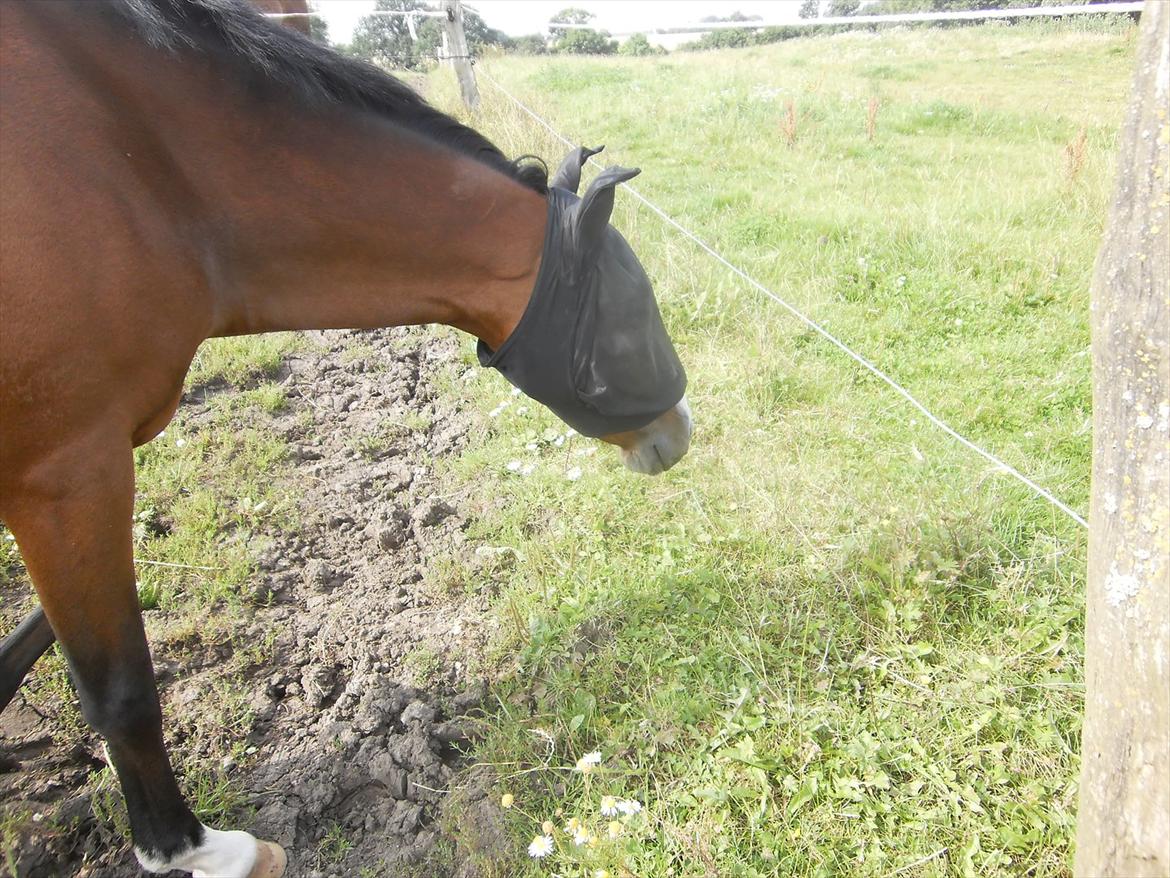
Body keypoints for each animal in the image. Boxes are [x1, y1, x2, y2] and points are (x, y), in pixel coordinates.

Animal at [0, 2, 691, 876]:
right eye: (634, 312)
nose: (679, 430)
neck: (143, 177)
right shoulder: (68, 470)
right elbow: (120, 687)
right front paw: (191, 849)